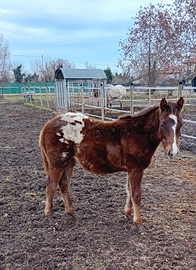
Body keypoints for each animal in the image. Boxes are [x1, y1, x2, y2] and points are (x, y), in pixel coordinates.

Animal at [39, 98, 184, 231]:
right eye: (162, 124)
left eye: (181, 124)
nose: (172, 152)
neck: (138, 133)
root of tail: (48, 124)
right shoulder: (136, 169)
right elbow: (136, 195)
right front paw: (138, 222)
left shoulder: (131, 169)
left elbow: (129, 190)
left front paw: (128, 213)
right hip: (57, 163)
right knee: (51, 186)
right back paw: (50, 216)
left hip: (69, 162)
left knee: (63, 184)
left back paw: (72, 213)